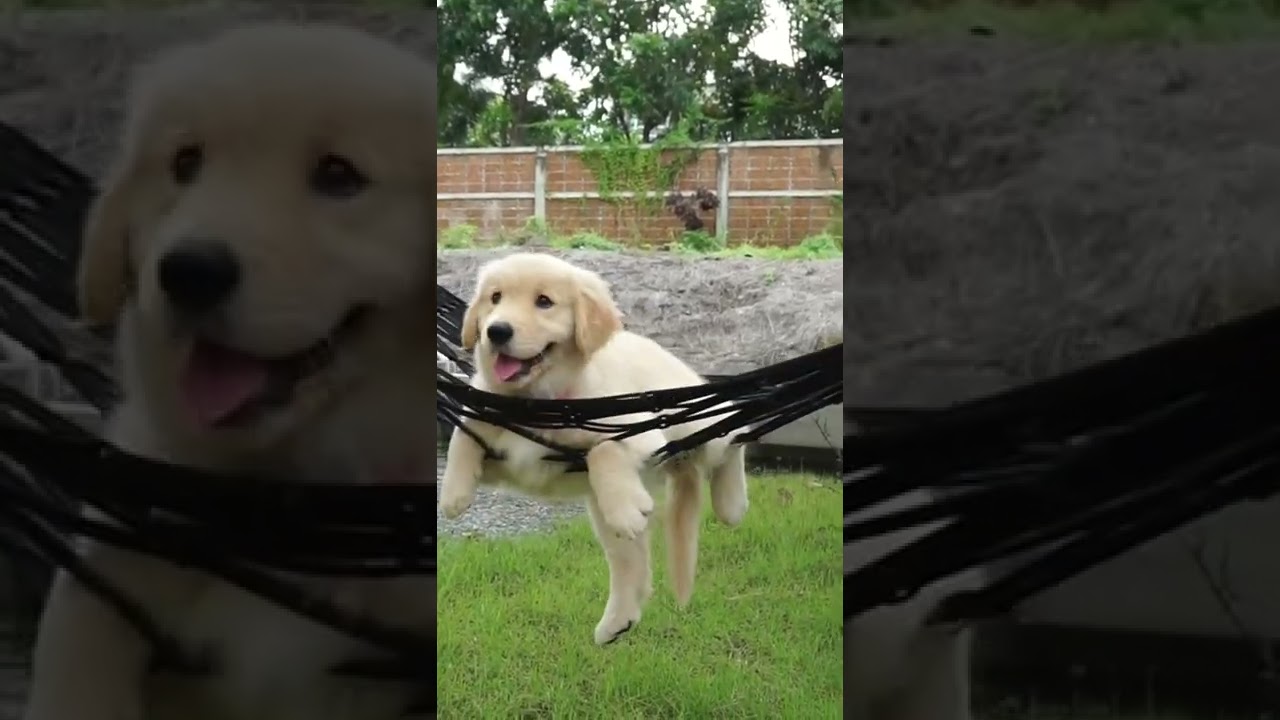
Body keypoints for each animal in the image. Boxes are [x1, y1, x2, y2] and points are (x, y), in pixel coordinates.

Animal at [440, 251, 747, 638]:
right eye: (495, 298)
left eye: (544, 301)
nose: (496, 331)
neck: (536, 401)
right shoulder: (508, 457)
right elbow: (464, 433)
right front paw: (453, 493)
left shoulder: (638, 428)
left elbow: (604, 448)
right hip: (605, 518)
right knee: (631, 567)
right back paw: (617, 621)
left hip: (696, 422)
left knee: (733, 433)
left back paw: (730, 503)